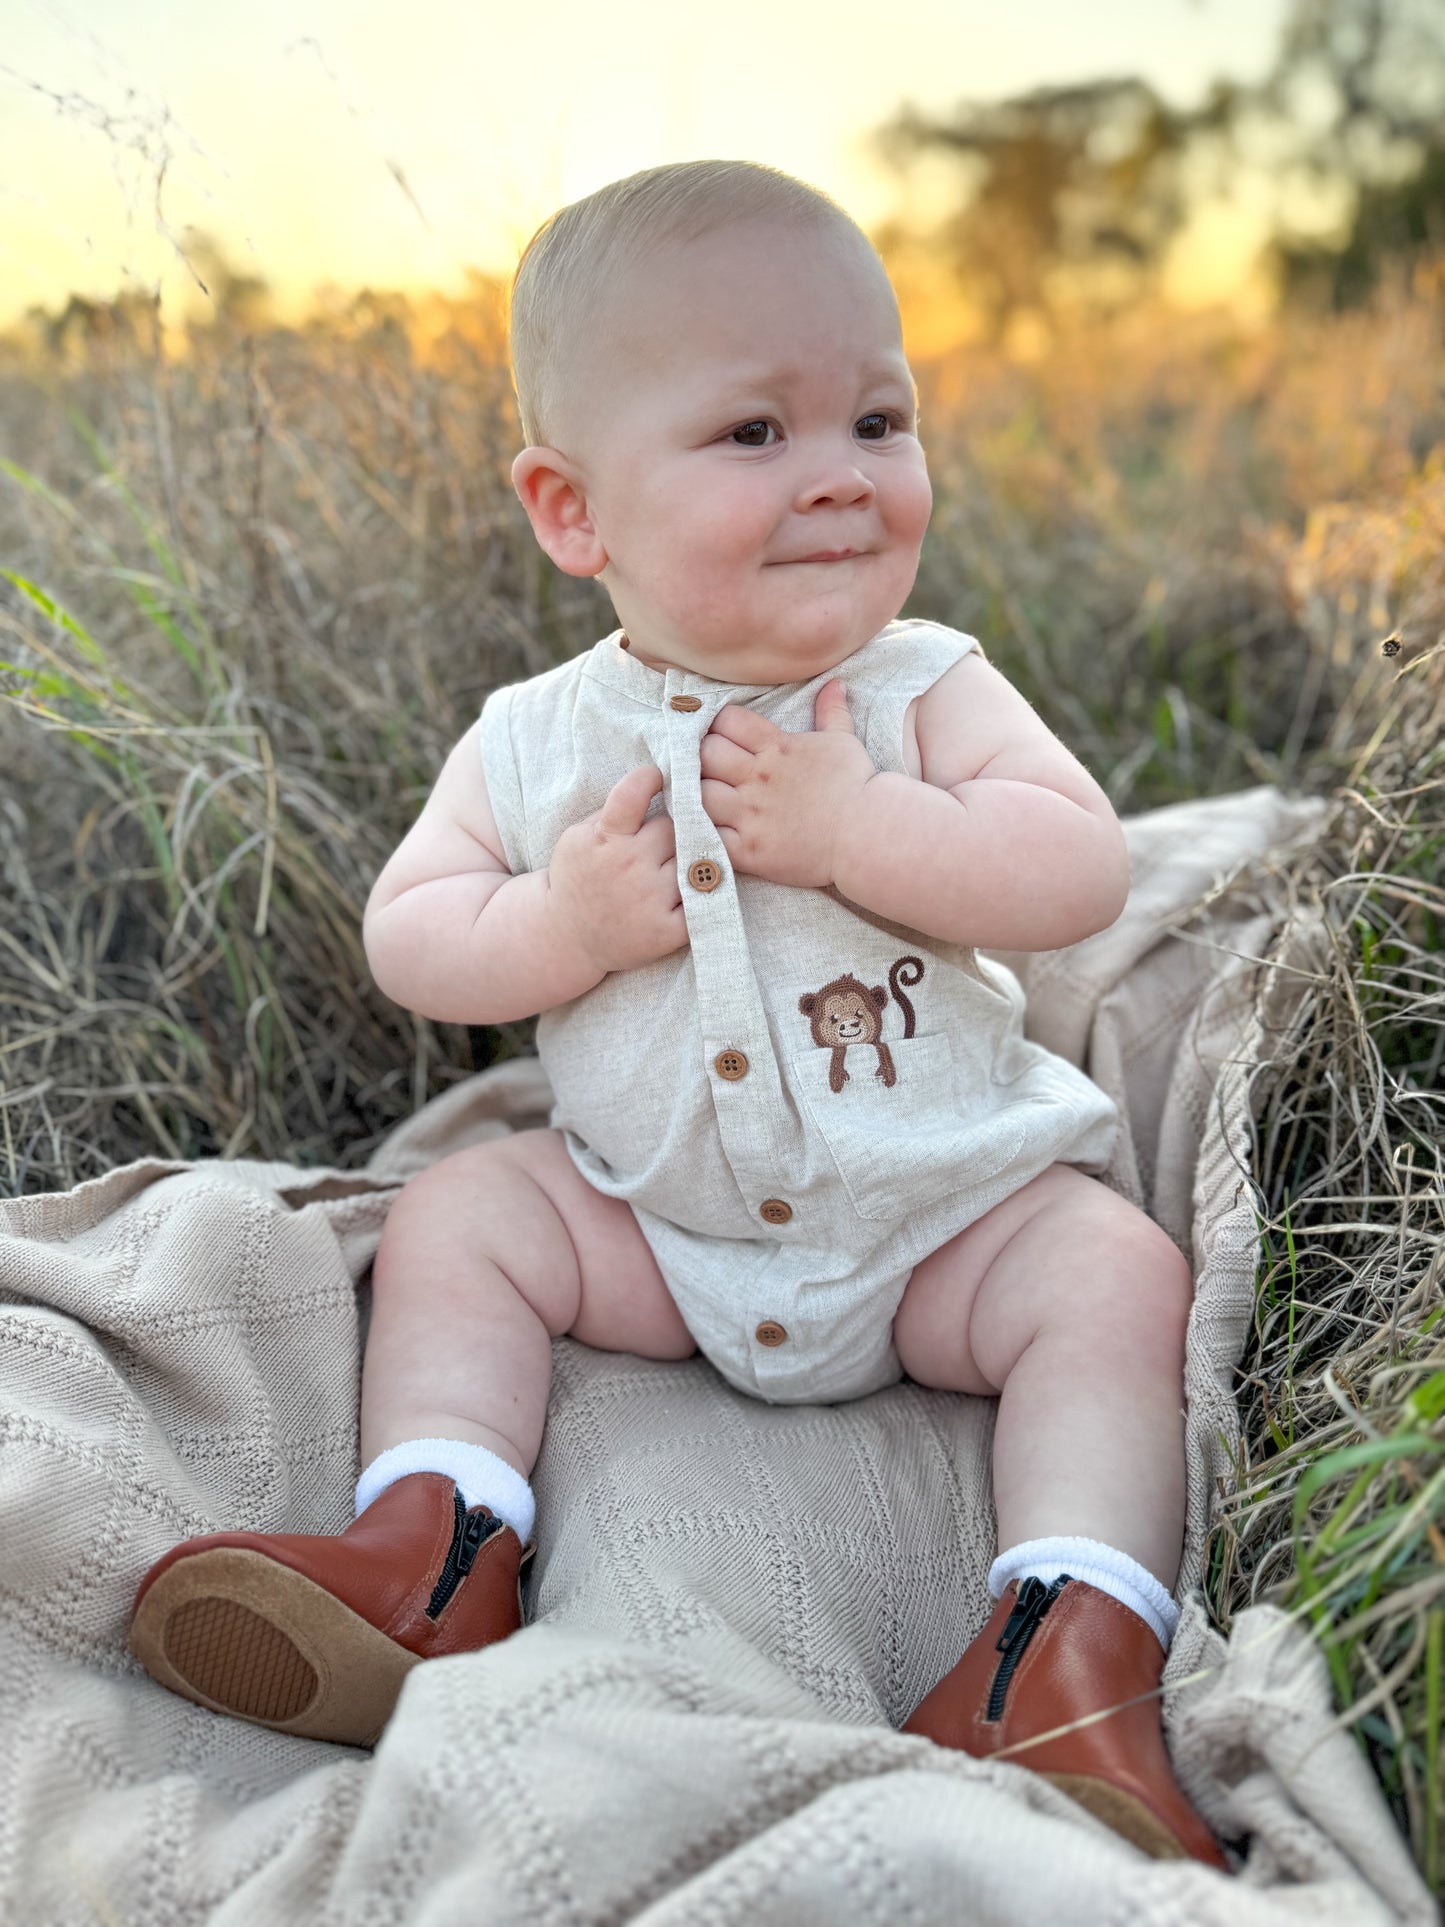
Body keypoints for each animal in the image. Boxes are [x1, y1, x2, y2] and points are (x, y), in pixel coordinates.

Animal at [798, 956, 925, 1094]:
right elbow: (839, 1051)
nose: (850, 1023)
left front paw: (887, 1072)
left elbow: (882, 1048)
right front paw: (837, 1077)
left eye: (859, 1013)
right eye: (833, 1018)